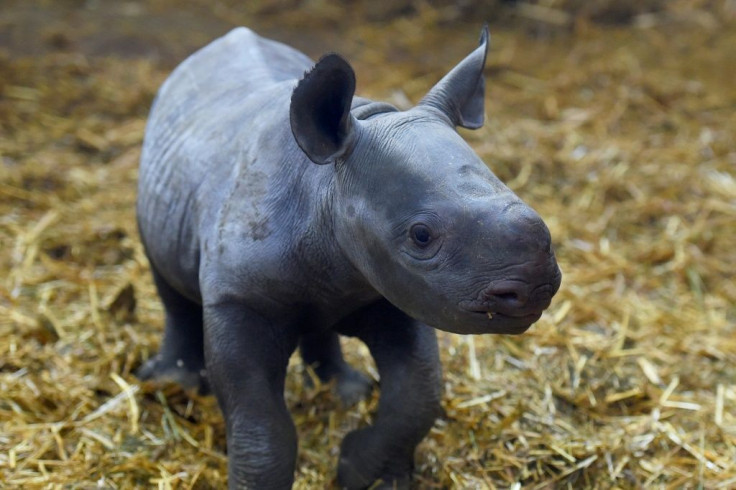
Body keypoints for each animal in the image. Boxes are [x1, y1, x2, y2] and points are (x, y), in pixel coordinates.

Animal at [138, 25, 560, 490]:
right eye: (421, 236)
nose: (535, 288)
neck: (326, 186)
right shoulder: (237, 298)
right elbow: (261, 425)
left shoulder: (392, 288)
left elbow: (418, 391)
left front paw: (362, 471)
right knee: (166, 280)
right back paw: (173, 383)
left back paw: (345, 392)